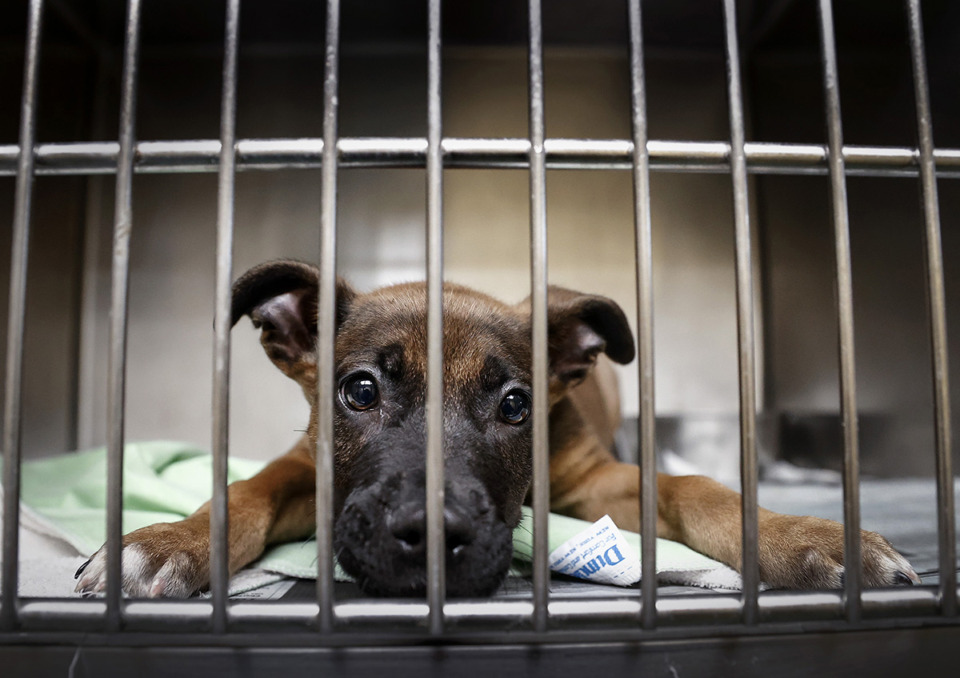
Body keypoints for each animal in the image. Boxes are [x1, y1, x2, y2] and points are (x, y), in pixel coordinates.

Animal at [73, 260, 916, 600]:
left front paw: (805, 536)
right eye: (360, 390)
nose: (429, 538)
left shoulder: (602, 481)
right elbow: (243, 492)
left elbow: (698, 489)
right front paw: (171, 541)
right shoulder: (307, 469)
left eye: (515, 406)